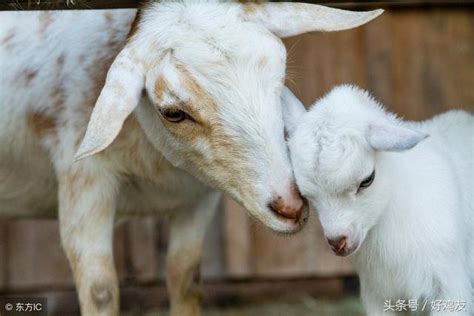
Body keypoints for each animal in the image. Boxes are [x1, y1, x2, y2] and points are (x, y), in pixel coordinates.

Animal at [0, 2, 382, 316]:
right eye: (173, 112)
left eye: (283, 77)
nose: (290, 206)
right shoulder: (83, 180)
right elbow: (100, 291)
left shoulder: (198, 197)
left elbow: (184, 279)